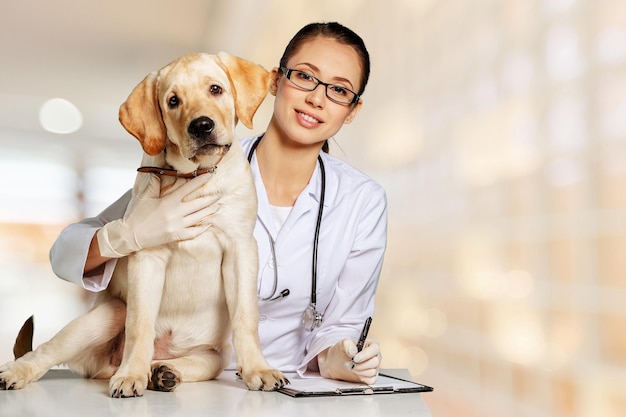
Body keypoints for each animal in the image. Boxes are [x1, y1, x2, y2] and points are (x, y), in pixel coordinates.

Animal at [0, 52, 288, 396]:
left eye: (215, 89)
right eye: (173, 101)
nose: (201, 126)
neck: (195, 177)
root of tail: (104, 367)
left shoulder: (240, 248)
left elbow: (246, 317)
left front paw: (258, 368)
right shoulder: (147, 256)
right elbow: (140, 324)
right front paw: (131, 375)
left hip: (213, 358)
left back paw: (163, 372)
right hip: (107, 314)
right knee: (47, 349)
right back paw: (20, 371)